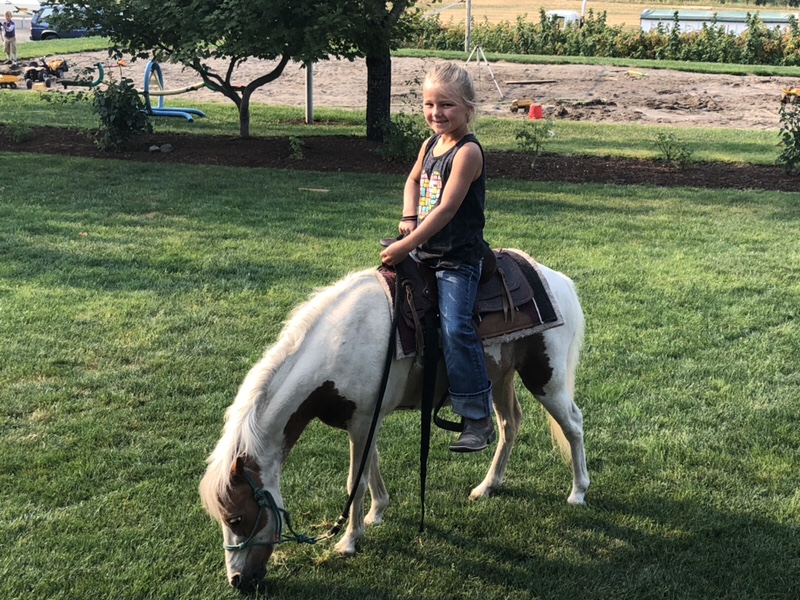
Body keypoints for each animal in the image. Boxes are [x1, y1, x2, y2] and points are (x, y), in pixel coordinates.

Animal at [199, 249, 589, 590]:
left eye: (236, 517)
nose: (238, 581)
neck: (340, 343)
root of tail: (558, 280)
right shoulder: (364, 421)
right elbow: (371, 466)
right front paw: (376, 514)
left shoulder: (362, 421)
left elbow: (354, 481)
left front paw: (348, 541)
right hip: (500, 377)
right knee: (510, 424)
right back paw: (487, 486)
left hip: (546, 380)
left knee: (573, 424)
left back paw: (578, 492)